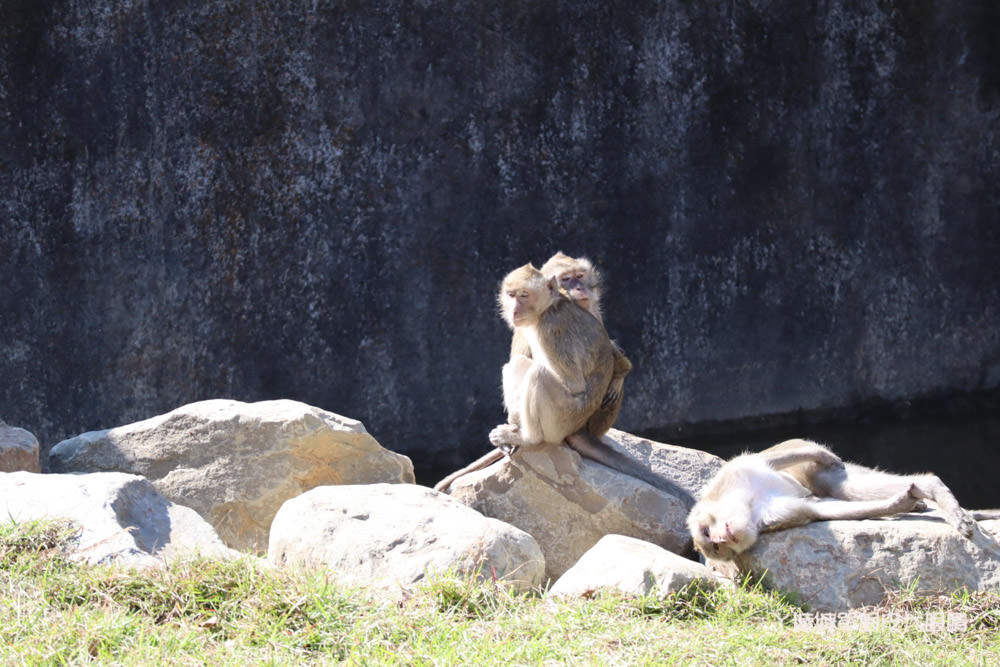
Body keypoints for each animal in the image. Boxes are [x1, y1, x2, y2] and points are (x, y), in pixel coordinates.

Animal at [688, 438, 976, 564]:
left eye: (707, 533)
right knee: (836, 490)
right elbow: (821, 510)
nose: (721, 538)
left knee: (833, 480)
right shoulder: (774, 519)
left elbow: (769, 459)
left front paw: (822, 455)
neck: (748, 505)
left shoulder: (733, 474)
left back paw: (933, 488)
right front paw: (901, 503)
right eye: (716, 548)